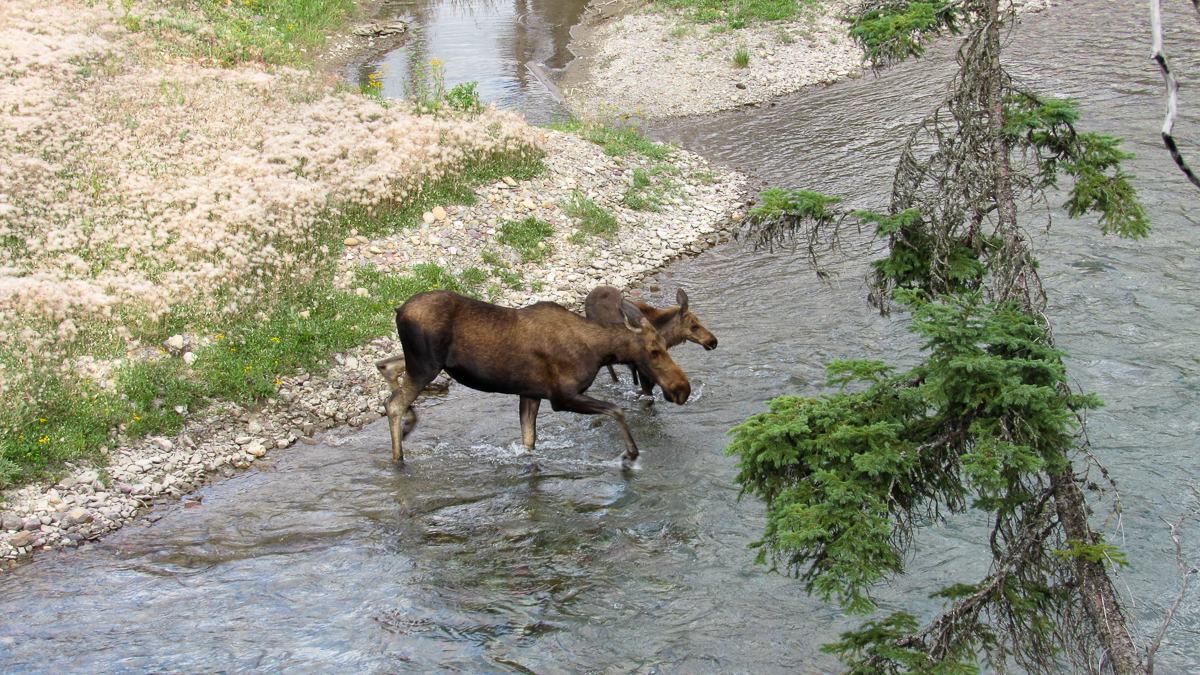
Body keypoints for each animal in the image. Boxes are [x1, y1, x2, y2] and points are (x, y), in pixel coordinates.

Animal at [379, 289, 691, 468]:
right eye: (654, 351)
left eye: (665, 346)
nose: (682, 389)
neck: (599, 352)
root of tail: (397, 311)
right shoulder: (561, 396)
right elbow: (616, 410)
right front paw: (630, 454)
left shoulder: (531, 393)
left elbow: (528, 441)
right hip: (425, 364)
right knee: (393, 403)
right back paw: (398, 458)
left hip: (424, 362)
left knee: (385, 366)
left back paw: (409, 424)